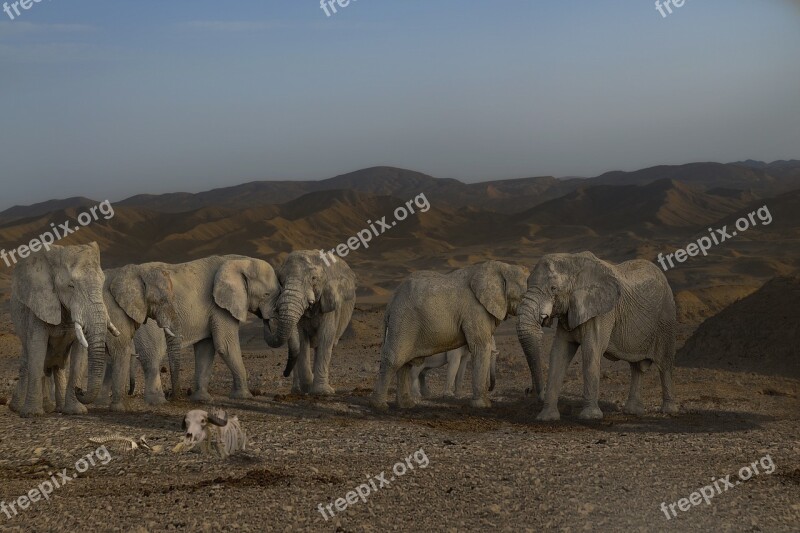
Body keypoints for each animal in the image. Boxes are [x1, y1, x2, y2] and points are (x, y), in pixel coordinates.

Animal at [8, 242, 118, 416]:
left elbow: (80, 355)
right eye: (71, 286)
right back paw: (19, 408)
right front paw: (32, 414)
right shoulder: (40, 303)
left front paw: (75, 411)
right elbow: (37, 349)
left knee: (57, 366)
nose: (80, 389)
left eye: (102, 284)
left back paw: (56, 408)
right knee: (28, 360)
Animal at [132, 256, 282, 402]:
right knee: (153, 354)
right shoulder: (219, 307)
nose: (267, 319)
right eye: (266, 294)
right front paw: (244, 396)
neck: (240, 261)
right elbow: (225, 345)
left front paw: (201, 399)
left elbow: (205, 349)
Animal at [262, 249, 356, 394]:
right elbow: (301, 339)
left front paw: (322, 392)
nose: (284, 373)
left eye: (313, 279)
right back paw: (297, 391)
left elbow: (326, 337)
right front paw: (308, 387)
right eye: (281, 281)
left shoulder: (330, 302)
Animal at [370, 260, 532, 410]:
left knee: (406, 362)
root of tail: (391, 301)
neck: (504, 267)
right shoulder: (474, 309)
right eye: (524, 296)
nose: (527, 390)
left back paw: (407, 405)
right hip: (403, 320)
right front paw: (483, 405)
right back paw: (380, 406)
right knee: (395, 359)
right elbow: (480, 347)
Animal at [516, 249, 680, 420]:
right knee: (636, 367)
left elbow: (591, 350)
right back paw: (632, 411)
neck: (573, 261)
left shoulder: (602, 312)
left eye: (553, 288)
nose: (530, 391)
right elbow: (559, 352)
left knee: (664, 364)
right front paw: (546, 418)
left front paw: (590, 417)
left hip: (666, 318)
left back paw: (669, 411)